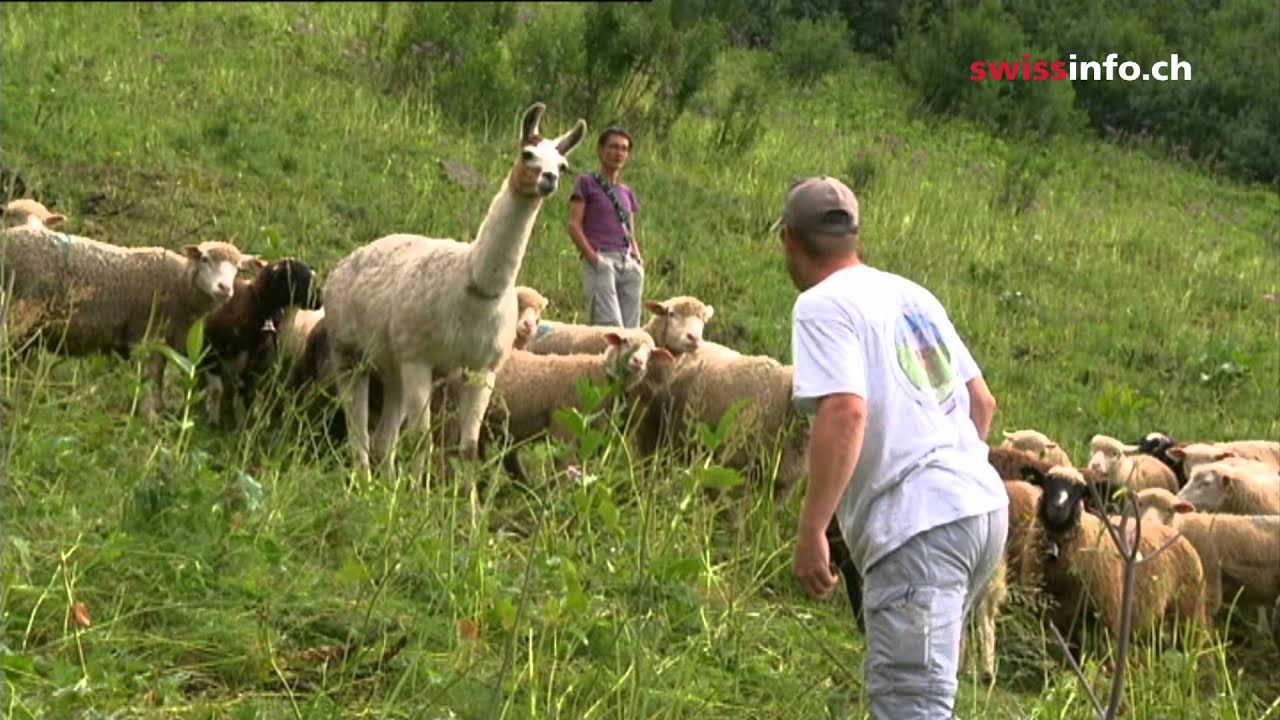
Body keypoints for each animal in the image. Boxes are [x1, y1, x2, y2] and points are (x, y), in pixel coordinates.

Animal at [0, 227, 258, 423]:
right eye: (205, 259)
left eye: (238, 269)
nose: (225, 288)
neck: (180, 287)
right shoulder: (145, 336)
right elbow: (149, 376)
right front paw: (149, 415)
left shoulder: (163, 341)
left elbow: (158, 377)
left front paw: (158, 410)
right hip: (19, 309)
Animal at [199, 258, 321, 429]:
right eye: (303, 280)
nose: (320, 300)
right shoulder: (211, 351)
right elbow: (217, 390)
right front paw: (213, 421)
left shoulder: (252, 365)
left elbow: (242, 396)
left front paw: (241, 427)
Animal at [319, 102, 586, 481]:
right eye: (528, 153)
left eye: (563, 165)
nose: (548, 179)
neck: (474, 289)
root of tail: (343, 265)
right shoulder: (420, 357)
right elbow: (422, 438)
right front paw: (414, 495)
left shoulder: (482, 368)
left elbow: (468, 447)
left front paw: (464, 500)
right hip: (349, 349)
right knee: (359, 427)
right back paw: (364, 481)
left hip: (393, 362)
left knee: (384, 436)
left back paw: (383, 484)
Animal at [1019, 465, 1209, 656]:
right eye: (1046, 482)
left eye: (1080, 491)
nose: (1057, 508)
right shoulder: (1050, 618)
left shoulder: (1108, 620)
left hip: (1189, 615)